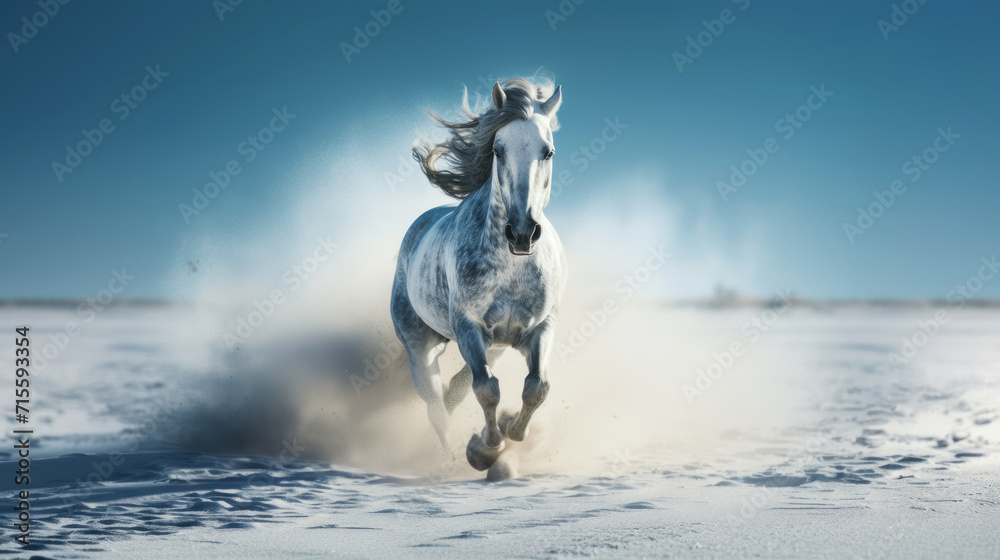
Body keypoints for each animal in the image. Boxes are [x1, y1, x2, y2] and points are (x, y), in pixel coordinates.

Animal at [390, 77, 566, 473]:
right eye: (498, 150)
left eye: (547, 152)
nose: (522, 233)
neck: (512, 268)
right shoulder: (469, 328)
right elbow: (487, 389)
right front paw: (484, 451)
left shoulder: (541, 326)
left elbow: (538, 386)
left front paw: (512, 431)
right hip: (420, 346)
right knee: (437, 407)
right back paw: (448, 457)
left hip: (496, 346)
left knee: (453, 392)